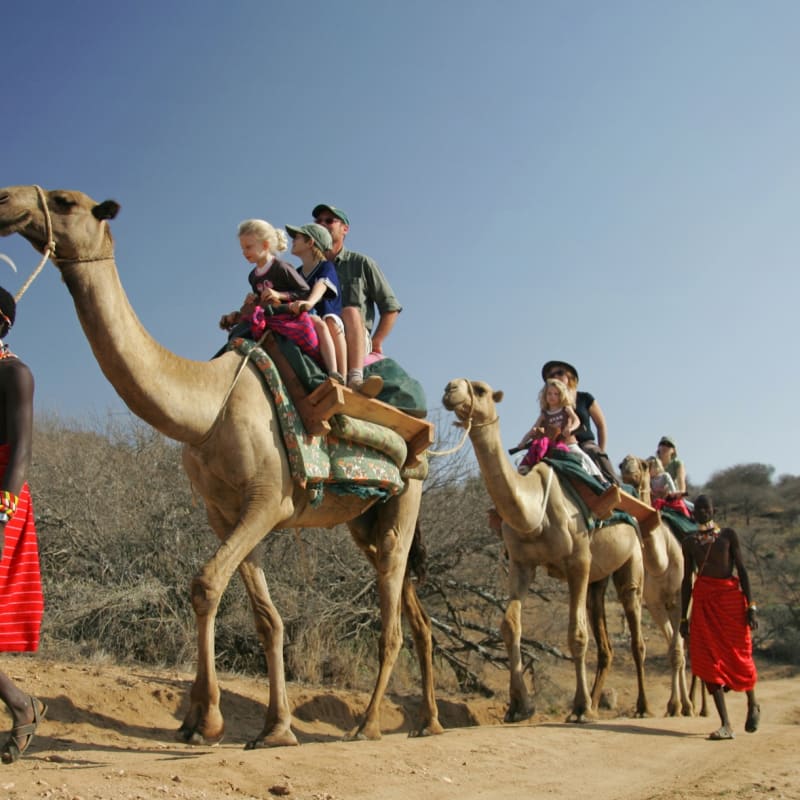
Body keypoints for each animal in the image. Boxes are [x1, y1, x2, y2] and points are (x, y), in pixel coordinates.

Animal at [0, 185, 443, 746]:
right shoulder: (225, 511)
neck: (209, 407)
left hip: (407, 493)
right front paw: (273, 728)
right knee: (415, 610)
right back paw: (428, 722)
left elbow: (205, 585)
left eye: (63, 200)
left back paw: (367, 726)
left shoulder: (269, 500)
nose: (7, 201)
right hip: (365, 518)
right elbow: (266, 618)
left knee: (391, 618)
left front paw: (208, 720)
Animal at [442, 378, 651, 723]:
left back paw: (642, 707)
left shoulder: (578, 561)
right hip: (599, 578)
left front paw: (580, 709)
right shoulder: (521, 563)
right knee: (604, 640)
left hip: (631, 560)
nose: (450, 389)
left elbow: (576, 635)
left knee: (635, 630)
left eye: (481, 389)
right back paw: (599, 702)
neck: (533, 509)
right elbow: (510, 626)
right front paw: (519, 706)